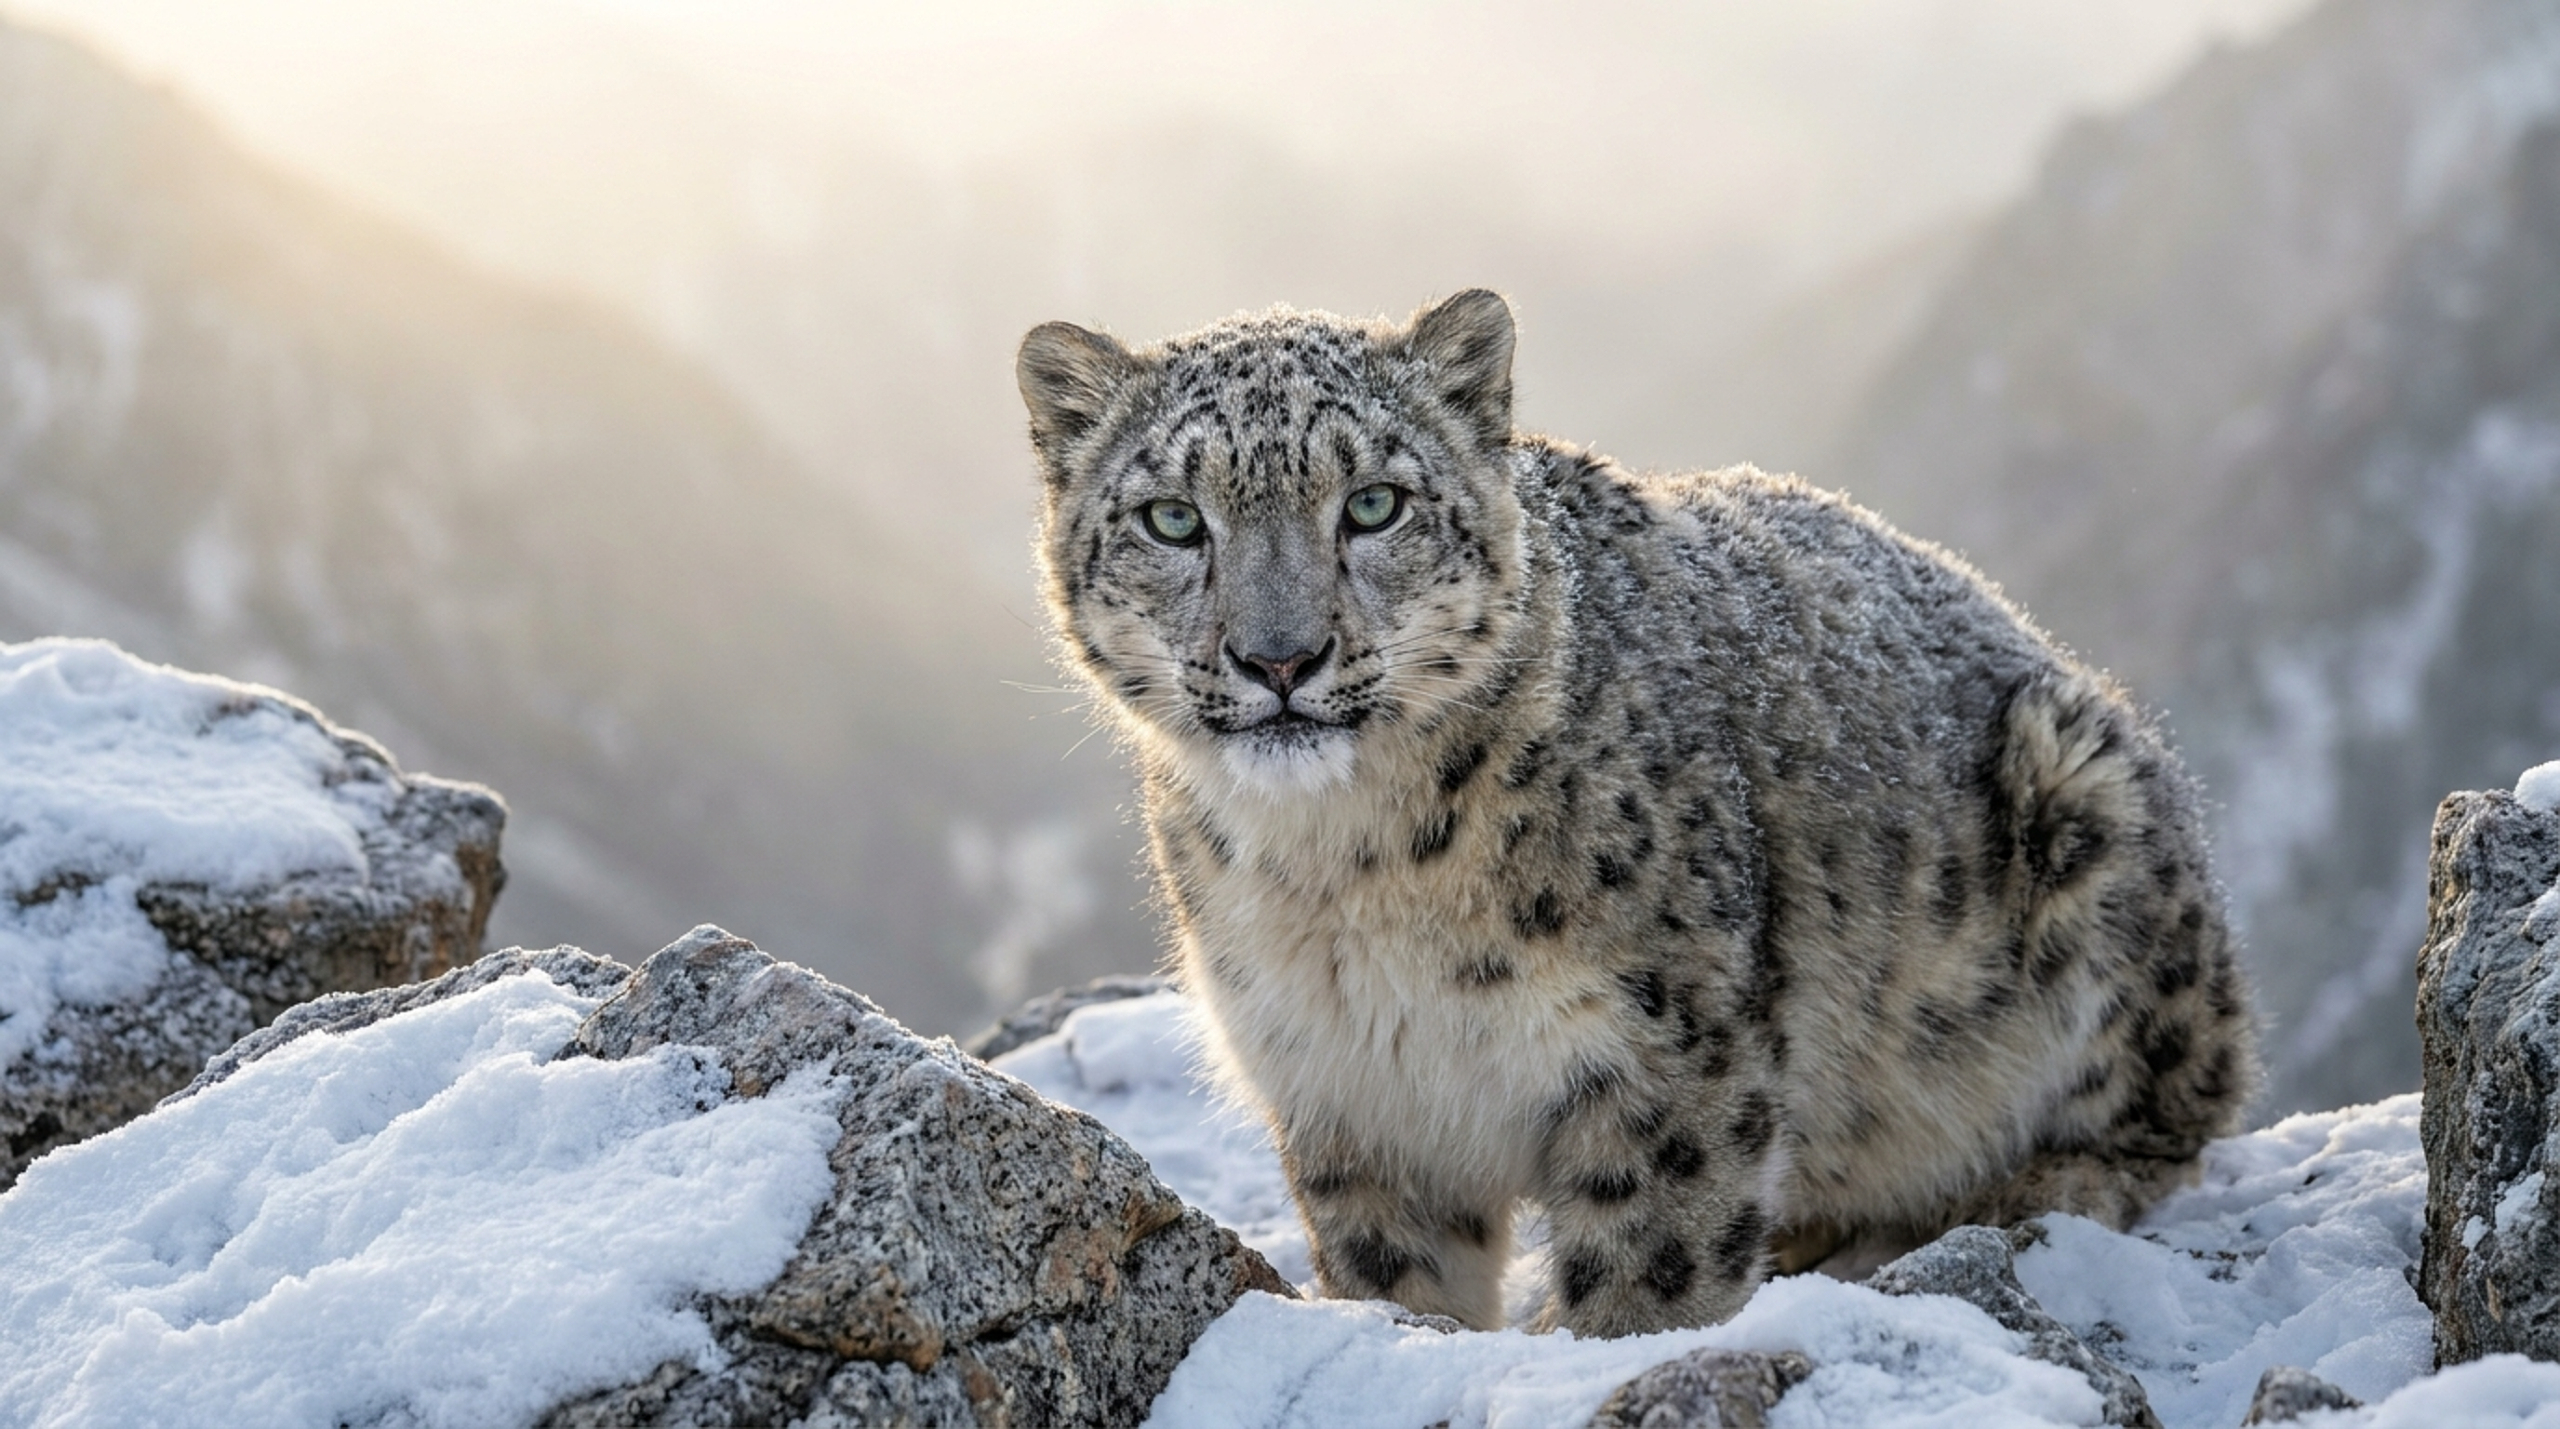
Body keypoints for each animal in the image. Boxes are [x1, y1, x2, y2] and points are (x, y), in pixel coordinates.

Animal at [1014, 289, 2257, 1336]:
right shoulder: (1349, 1090)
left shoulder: (1662, 1057)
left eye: (1372, 504)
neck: (1341, 872)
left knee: (2172, 1111)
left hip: (2090, 806)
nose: (1279, 658)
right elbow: (1397, 1278)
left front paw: (1603, 1333)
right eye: (1174, 519)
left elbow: (1651, 1263)